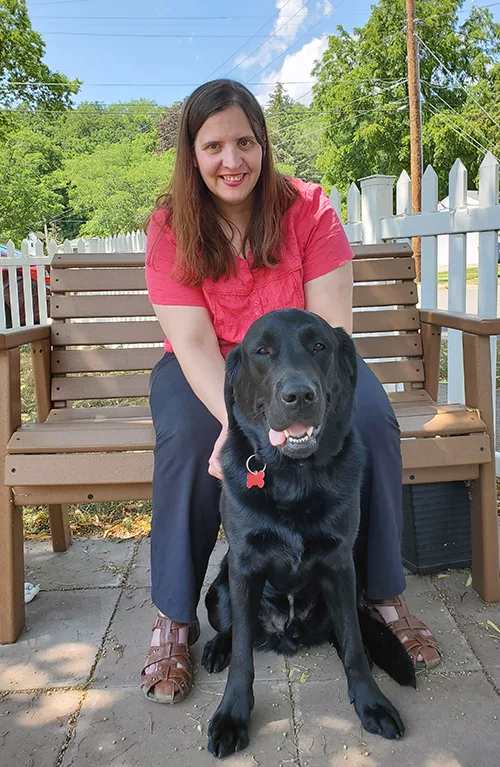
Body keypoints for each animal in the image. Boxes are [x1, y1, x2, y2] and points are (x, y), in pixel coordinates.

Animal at [202, 308, 414, 760]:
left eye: (319, 346)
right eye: (261, 351)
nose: (299, 395)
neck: (293, 478)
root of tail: (289, 634)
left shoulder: (340, 565)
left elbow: (353, 645)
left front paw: (371, 703)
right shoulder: (244, 569)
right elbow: (243, 655)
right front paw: (232, 716)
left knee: (345, 634)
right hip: (219, 591)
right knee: (233, 630)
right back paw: (216, 647)